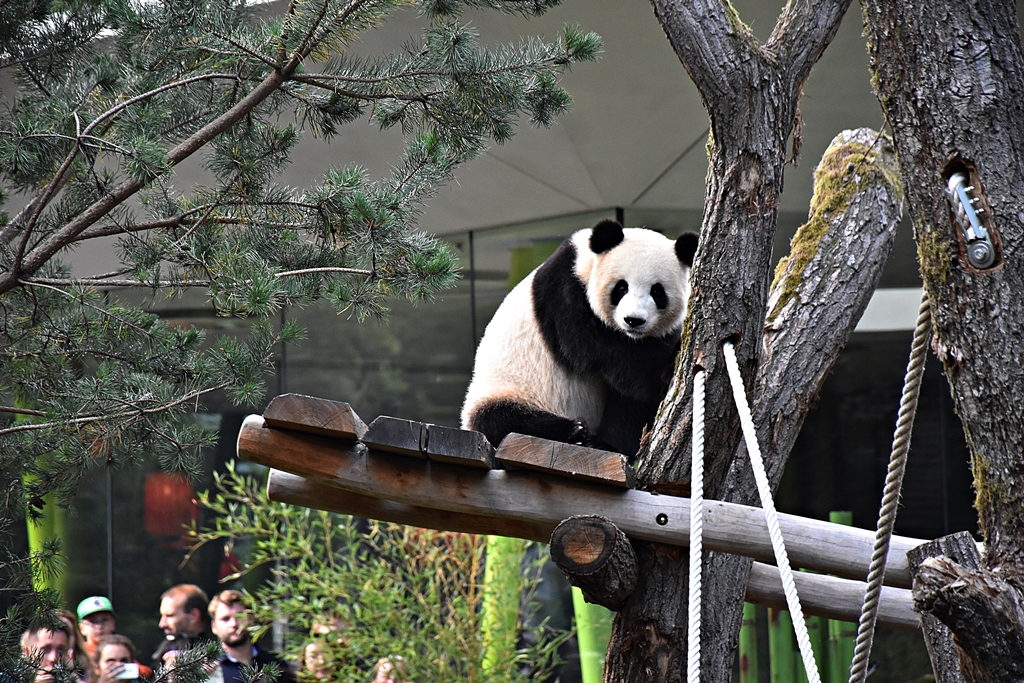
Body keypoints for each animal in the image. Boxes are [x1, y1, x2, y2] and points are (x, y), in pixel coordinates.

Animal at [461, 218, 699, 457]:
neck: (586, 263)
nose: (634, 320)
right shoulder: (566, 297)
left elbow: (633, 399)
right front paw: (669, 365)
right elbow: (618, 359)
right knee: (498, 420)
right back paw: (573, 430)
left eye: (657, 292)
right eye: (621, 287)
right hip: (501, 391)